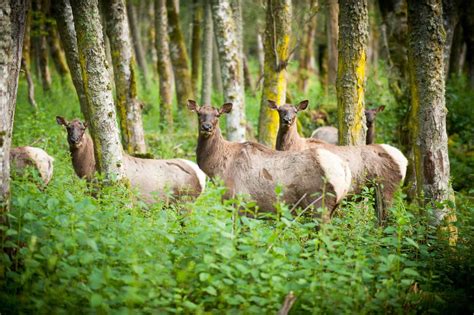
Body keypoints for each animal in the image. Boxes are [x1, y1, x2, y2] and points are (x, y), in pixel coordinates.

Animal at [56, 117, 206, 204]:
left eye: (82, 128)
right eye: (68, 127)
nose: (74, 140)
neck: (88, 170)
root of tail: (202, 177)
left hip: (186, 200)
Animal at [187, 100, 350, 218]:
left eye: (217, 115)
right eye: (199, 113)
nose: (206, 127)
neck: (217, 172)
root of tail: (345, 173)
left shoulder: (239, 201)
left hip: (319, 204)